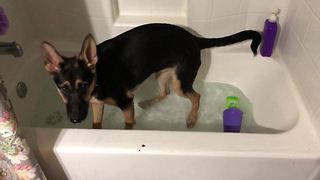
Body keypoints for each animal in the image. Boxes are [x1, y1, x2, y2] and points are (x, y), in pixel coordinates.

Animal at [41, 23, 262, 129]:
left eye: (84, 84)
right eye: (62, 88)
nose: (75, 120)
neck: (100, 76)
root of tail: (194, 39)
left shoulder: (125, 103)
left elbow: (128, 125)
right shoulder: (96, 105)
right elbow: (96, 125)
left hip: (180, 82)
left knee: (195, 96)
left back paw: (191, 118)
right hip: (162, 74)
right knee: (165, 92)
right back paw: (148, 103)